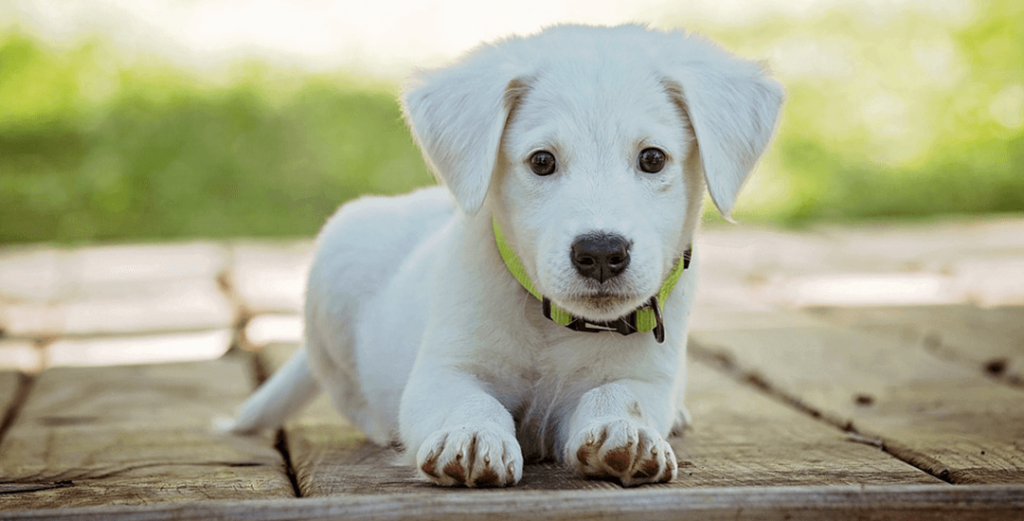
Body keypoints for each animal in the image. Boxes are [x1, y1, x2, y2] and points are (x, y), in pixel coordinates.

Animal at [228, 24, 778, 487]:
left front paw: (627, 433)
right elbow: (469, 401)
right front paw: (472, 437)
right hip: (337, 264)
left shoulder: (645, 377)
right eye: (542, 162)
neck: (554, 325)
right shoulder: (444, 370)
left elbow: (619, 396)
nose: (601, 253)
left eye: (653, 158)